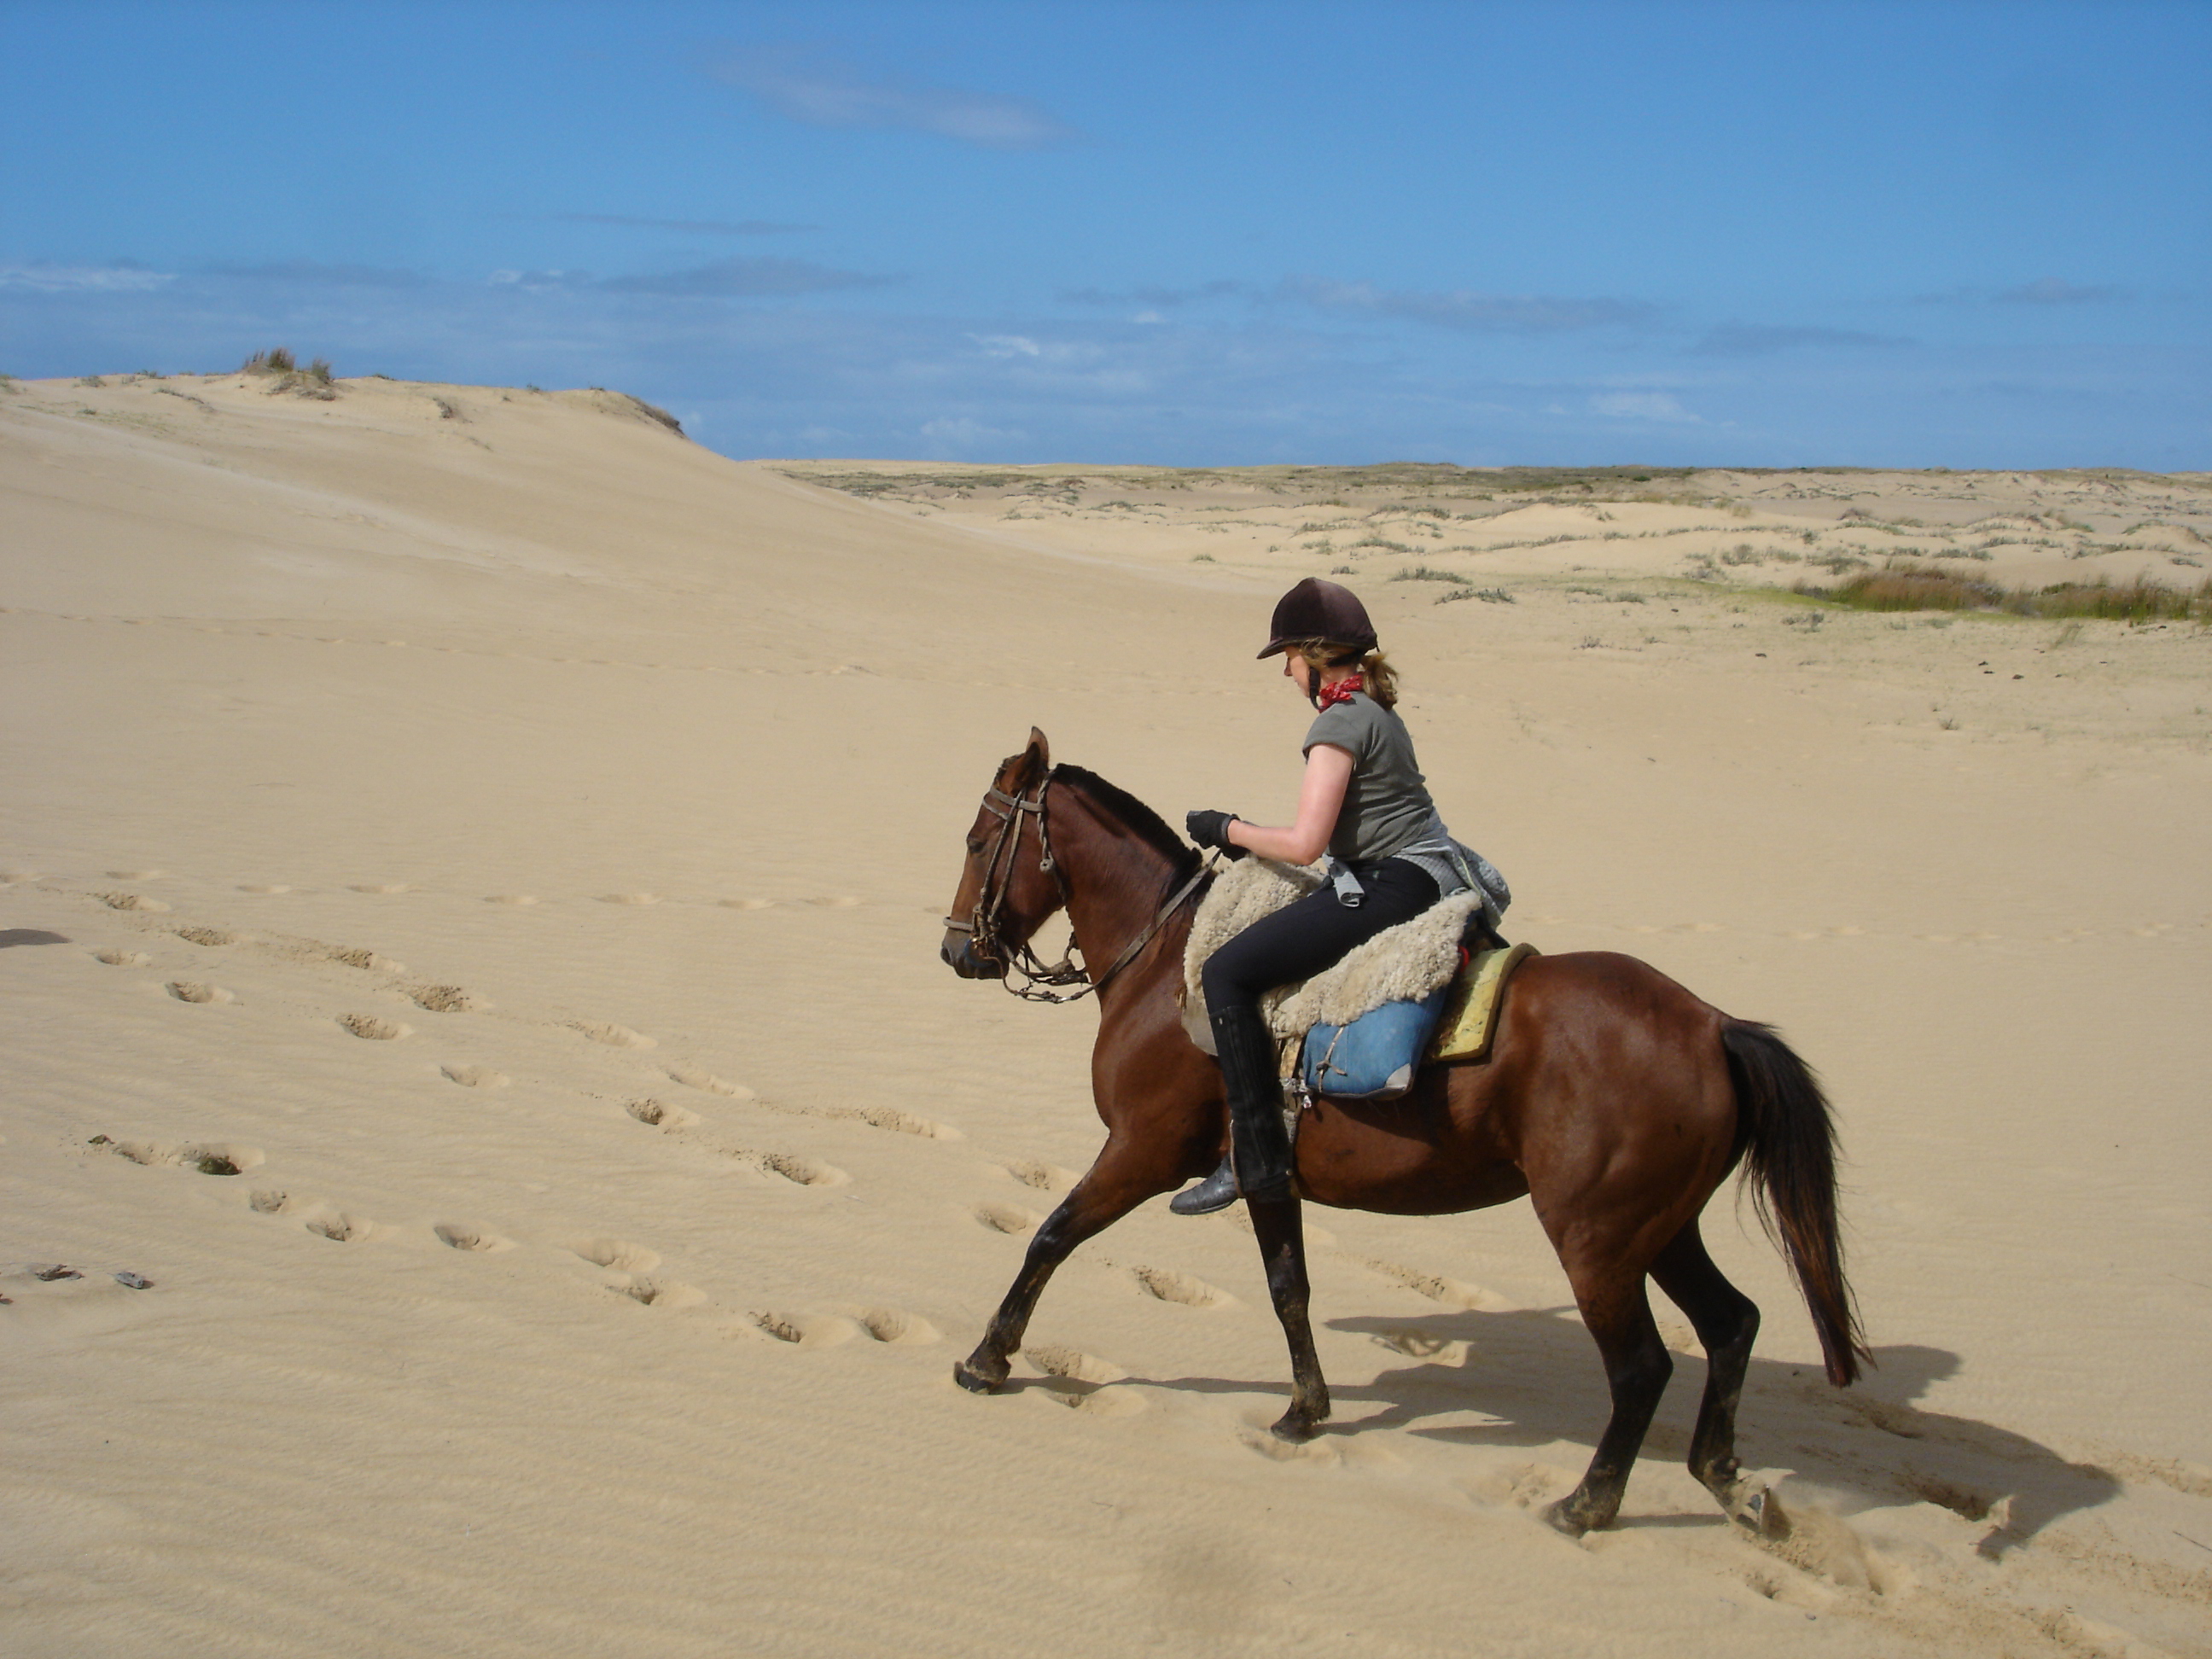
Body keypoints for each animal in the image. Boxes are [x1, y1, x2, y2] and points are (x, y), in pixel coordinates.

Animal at [938, 734, 1866, 1540]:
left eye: (980, 840)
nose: (957, 953)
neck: (1170, 958)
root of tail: (1713, 1027)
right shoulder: (1262, 1171)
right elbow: (1289, 1288)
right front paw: (1305, 1410)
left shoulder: (1143, 1152)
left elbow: (1051, 1236)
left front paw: (989, 1357)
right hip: (1662, 1228)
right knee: (1732, 1325)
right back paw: (1726, 1478)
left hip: (1597, 1238)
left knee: (1643, 1366)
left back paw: (1589, 1502)